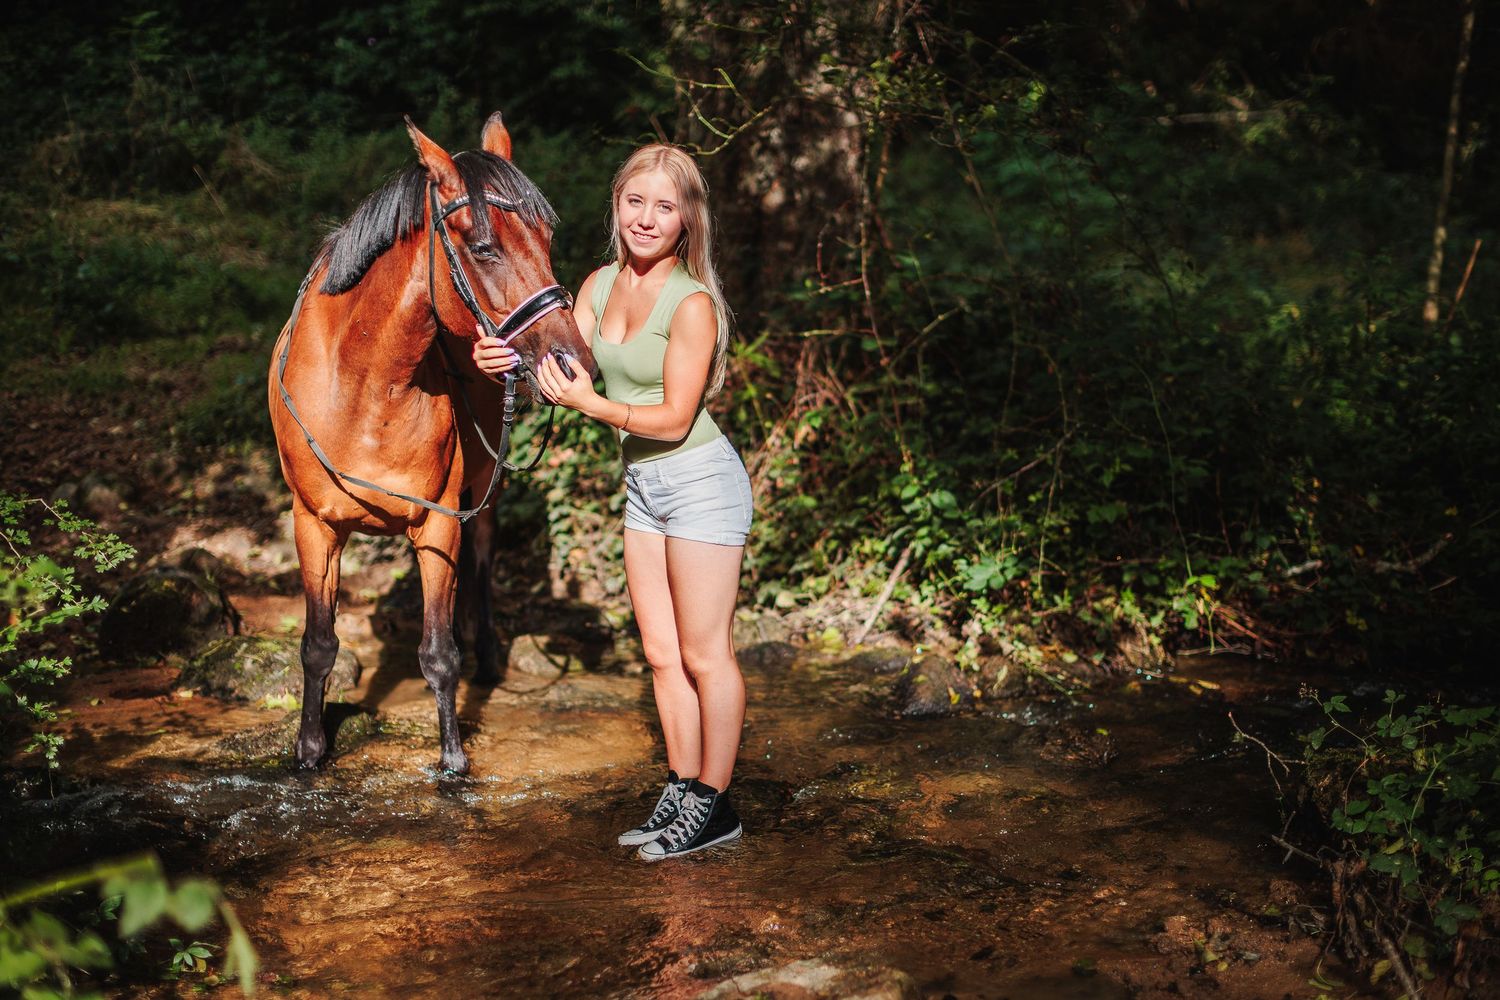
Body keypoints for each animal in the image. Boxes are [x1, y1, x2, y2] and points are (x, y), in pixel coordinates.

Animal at [267, 113, 593, 775]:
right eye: (485, 246)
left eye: (547, 237)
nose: (576, 364)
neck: (366, 383)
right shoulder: (313, 524)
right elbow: (318, 645)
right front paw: (309, 752)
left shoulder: (439, 522)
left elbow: (439, 654)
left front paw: (453, 765)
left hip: (483, 491)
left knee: (484, 559)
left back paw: (486, 650)